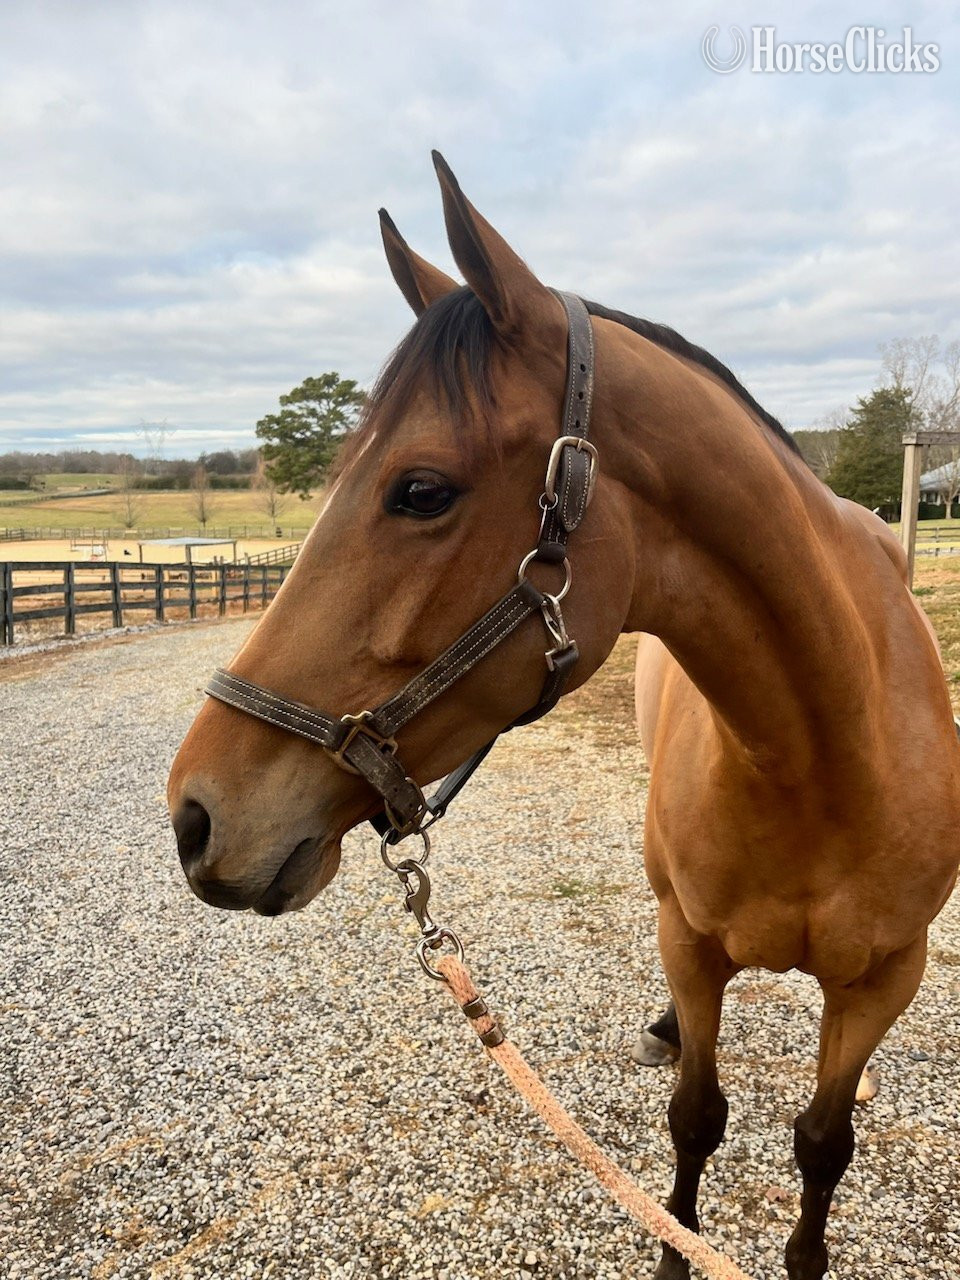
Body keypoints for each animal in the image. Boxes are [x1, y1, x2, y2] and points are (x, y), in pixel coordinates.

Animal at [167, 153, 960, 1279]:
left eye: (420, 488)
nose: (195, 816)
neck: (826, 759)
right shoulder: (691, 943)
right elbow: (697, 1117)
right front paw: (677, 1249)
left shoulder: (886, 980)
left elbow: (821, 1143)